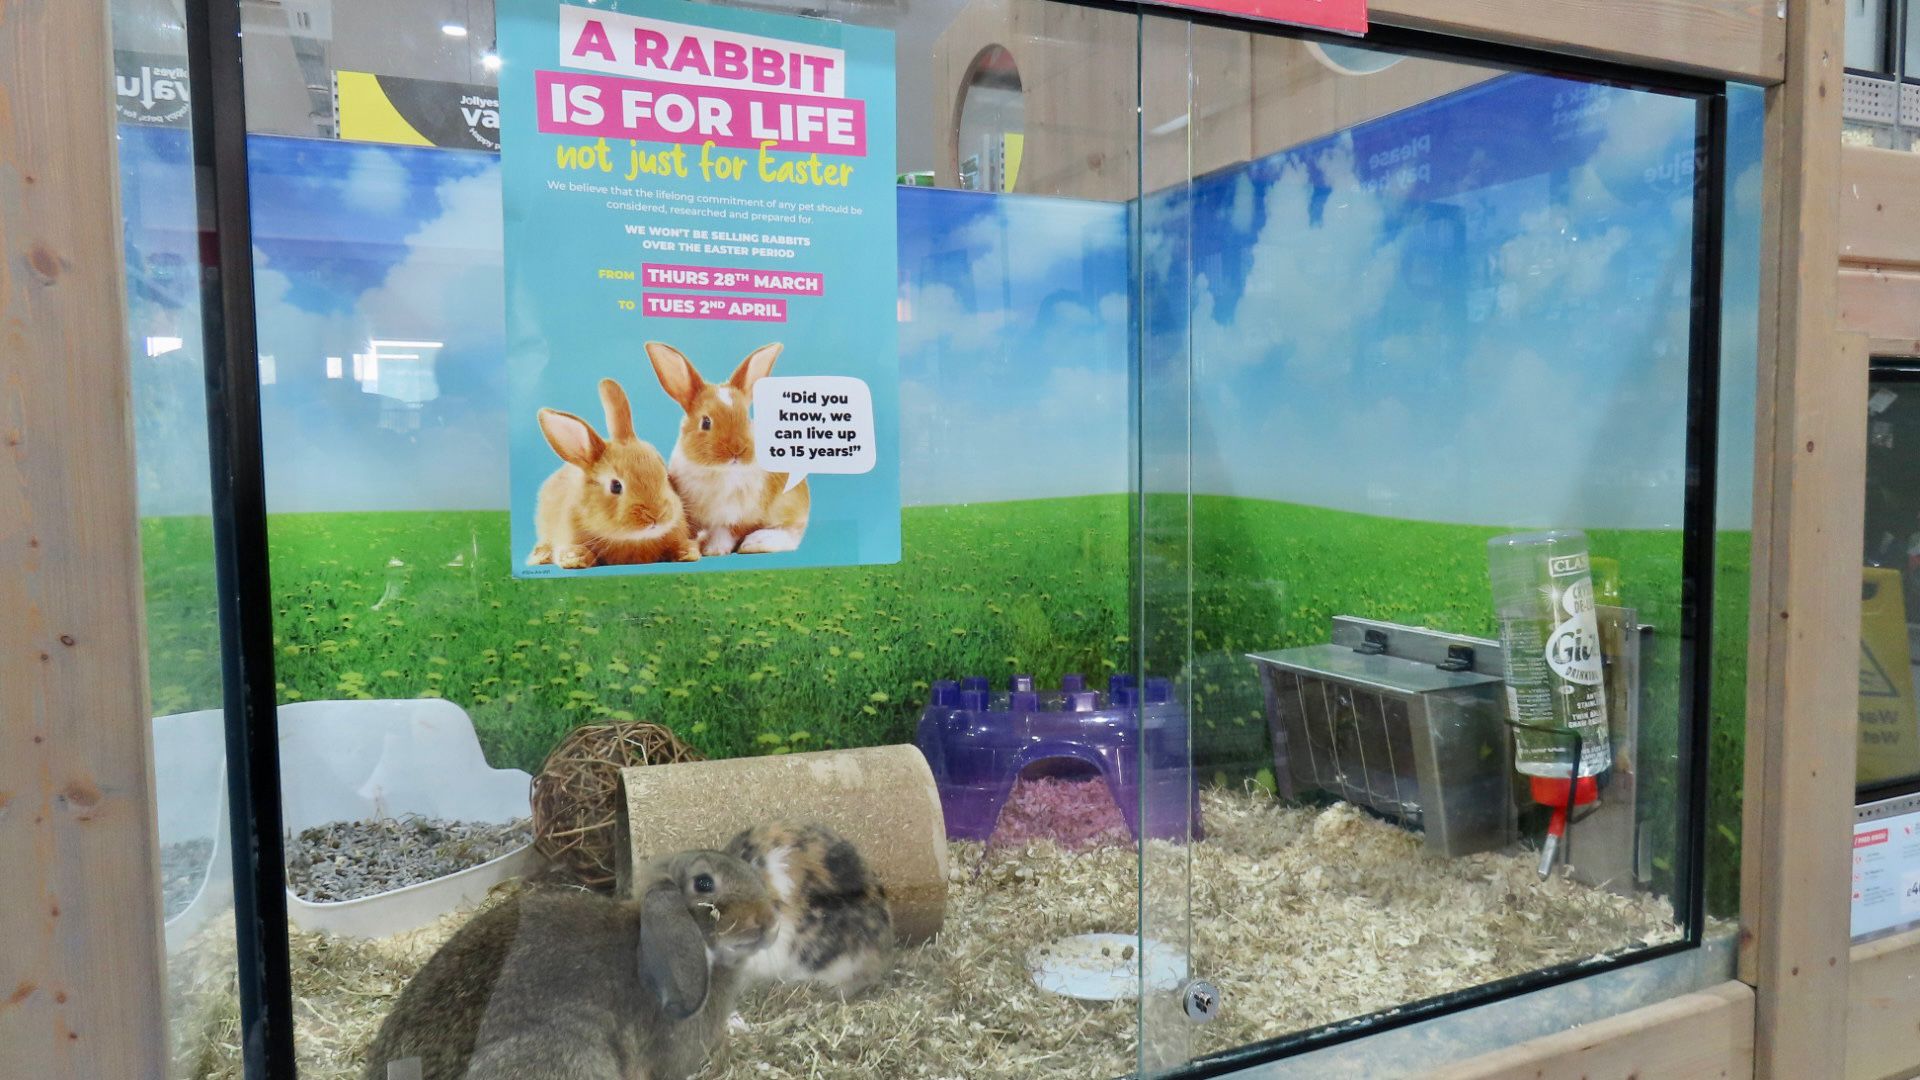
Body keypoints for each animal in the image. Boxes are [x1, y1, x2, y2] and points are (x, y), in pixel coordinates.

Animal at [645, 341, 810, 557]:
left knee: (790, 535)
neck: (717, 471)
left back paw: (756, 542)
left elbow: (726, 531)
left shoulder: (741, 516)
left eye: (747, 420)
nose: (737, 450)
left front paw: (714, 549)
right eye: (706, 422)